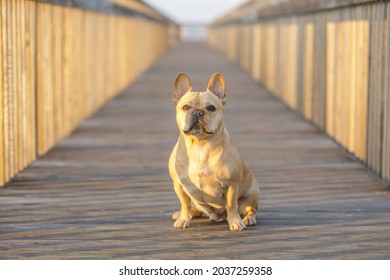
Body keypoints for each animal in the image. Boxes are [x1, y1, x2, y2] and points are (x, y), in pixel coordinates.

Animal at [168, 72, 258, 232]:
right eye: (186, 107)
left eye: (211, 108)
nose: (198, 112)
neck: (200, 145)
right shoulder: (179, 184)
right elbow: (184, 203)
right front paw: (184, 218)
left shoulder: (231, 185)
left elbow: (231, 205)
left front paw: (235, 222)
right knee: (193, 208)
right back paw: (182, 214)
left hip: (253, 194)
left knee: (249, 209)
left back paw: (248, 219)